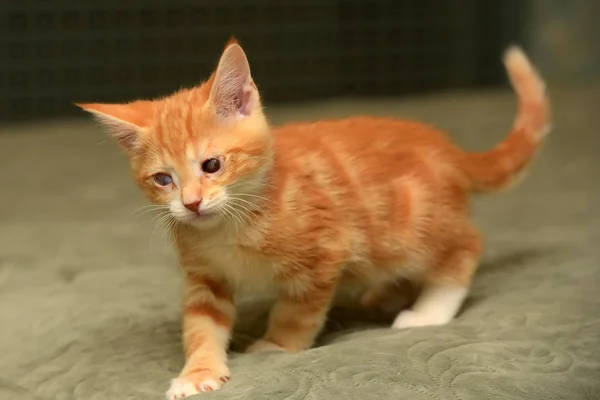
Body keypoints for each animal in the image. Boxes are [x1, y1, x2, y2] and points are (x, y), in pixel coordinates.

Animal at [77, 39, 552, 398]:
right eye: (163, 179)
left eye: (211, 165)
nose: (191, 204)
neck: (232, 221)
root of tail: (447, 149)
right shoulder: (205, 276)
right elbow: (200, 325)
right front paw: (199, 373)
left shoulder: (324, 254)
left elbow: (296, 313)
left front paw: (274, 346)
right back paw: (385, 293)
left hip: (415, 228)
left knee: (466, 246)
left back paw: (427, 310)